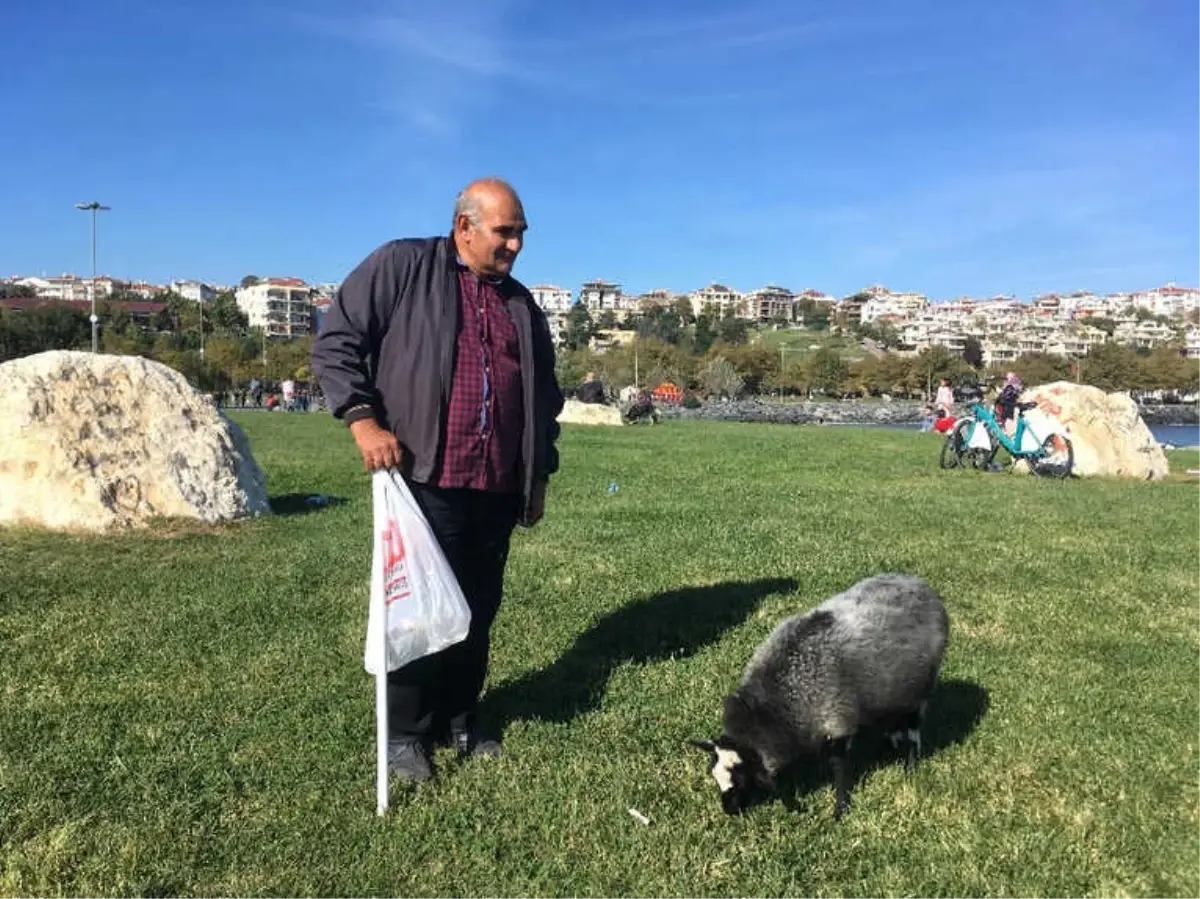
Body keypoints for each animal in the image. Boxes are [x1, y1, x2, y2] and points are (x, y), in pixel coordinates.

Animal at [696, 571, 945, 816]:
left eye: (740, 778)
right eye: (714, 776)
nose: (728, 810)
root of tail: (920, 584)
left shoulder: (838, 720)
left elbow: (838, 765)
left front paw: (840, 808)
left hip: (921, 689)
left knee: (913, 729)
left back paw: (910, 766)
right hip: (892, 691)